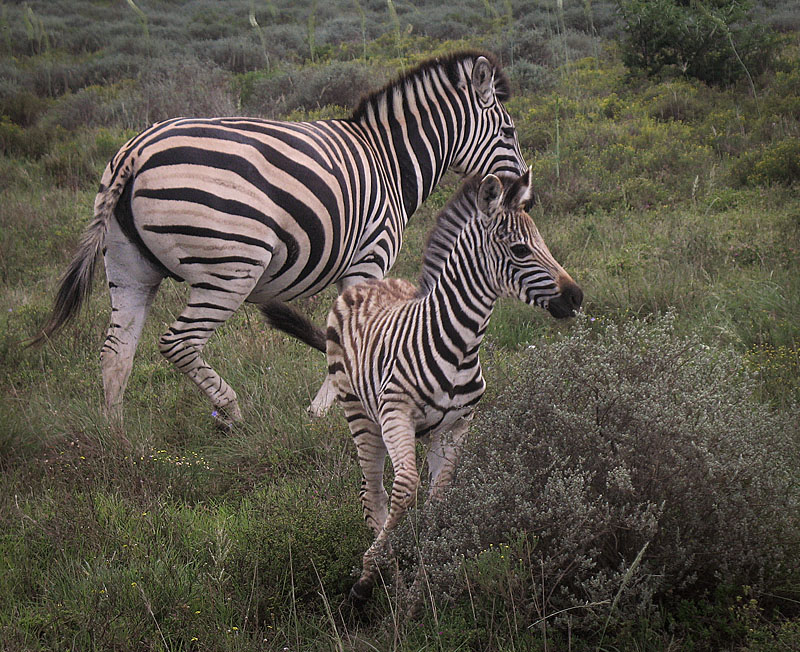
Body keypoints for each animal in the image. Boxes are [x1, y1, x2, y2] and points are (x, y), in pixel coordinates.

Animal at [29, 51, 526, 427]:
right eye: (509, 131)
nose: (526, 191)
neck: (388, 160)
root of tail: (135, 151)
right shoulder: (369, 258)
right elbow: (347, 342)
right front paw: (324, 411)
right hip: (231, 266)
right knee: (178, 342)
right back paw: (231, 411)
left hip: (128, 268)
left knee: (116, 353)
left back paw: (119, 439)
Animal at [261, 169, 583, 609]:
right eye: (519, 250)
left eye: (543, 244)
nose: (576, 296)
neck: (460, 344)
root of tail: (365, 286)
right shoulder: (396, 415)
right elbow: (405, 491)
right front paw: (368, 578)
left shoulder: (457, 426)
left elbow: (438, 501)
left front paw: (421, 586)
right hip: (360, 415)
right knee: (373, 494)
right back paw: (382, 576)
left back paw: (396, 583)